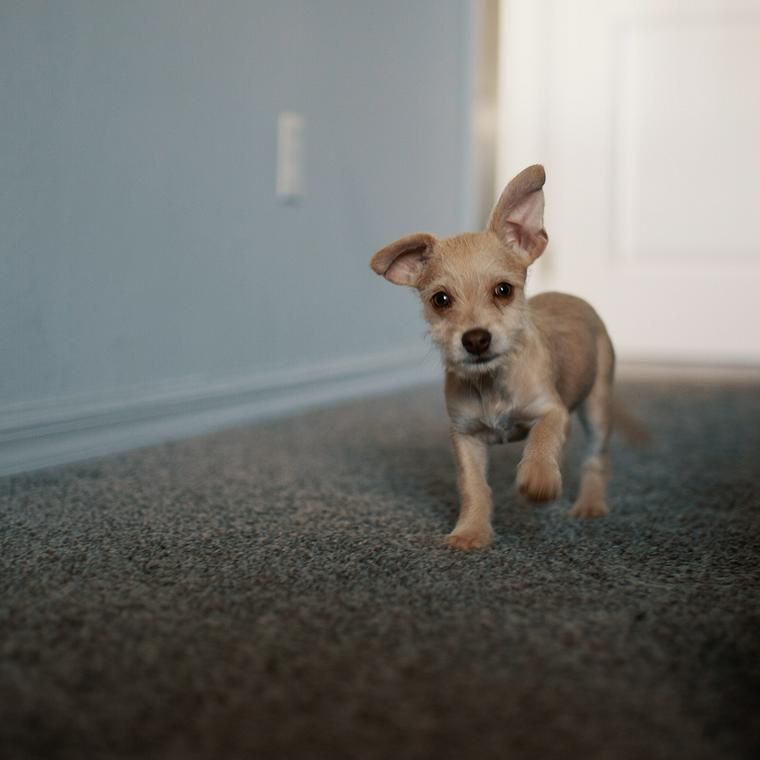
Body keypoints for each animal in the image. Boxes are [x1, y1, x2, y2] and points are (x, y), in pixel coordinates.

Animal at [372, 163, 632, 548]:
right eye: (440, 300)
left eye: (503, 290)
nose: (476, 339)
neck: (492, 383)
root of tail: (572, 297)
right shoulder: (465, 437)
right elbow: (474, 487)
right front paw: (471, 531)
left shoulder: (553, 411)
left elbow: (541, 439)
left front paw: (538, 478)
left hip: (597, 407)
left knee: (596, 458)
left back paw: (590, 503)